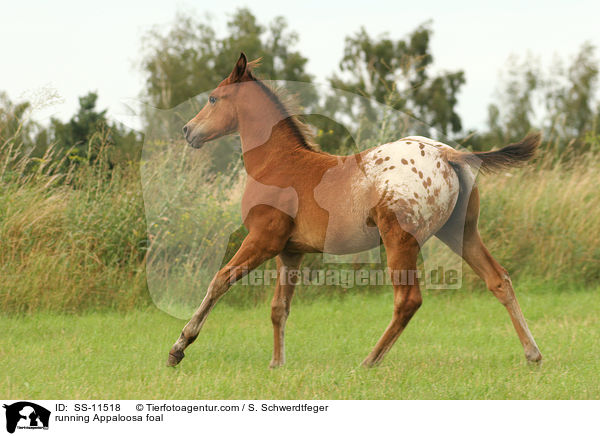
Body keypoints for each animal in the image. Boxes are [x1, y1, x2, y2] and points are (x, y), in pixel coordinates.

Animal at [166, 52, 540, 370]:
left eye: (213, 98)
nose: (187, 130)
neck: (279, 164)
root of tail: (448, 154)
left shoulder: (263, 240)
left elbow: (220, 279)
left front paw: (179, 347)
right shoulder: (290, 251)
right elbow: (279, 308)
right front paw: (276, 364)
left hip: (400, 240)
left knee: (408, 300)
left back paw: (368, 362)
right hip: (460, 232)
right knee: (499, 280)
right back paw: (533, 355)